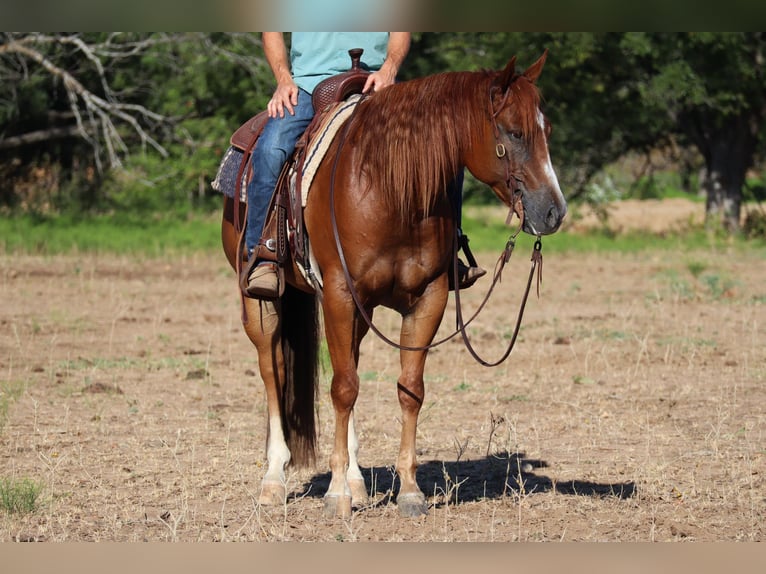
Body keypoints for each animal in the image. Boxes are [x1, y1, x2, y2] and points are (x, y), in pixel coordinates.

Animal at [219, 51, 568, 520]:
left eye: (546, 130)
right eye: (514, 132)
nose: (554, 212)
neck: (389, 190)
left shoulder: (428, 298)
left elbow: (408, 389)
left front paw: (408, 490)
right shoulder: (339, 293)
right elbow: (343, 388)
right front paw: (335, 496)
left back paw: (355, 479)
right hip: (259, 303)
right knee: (272, 371)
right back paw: (274, 480)